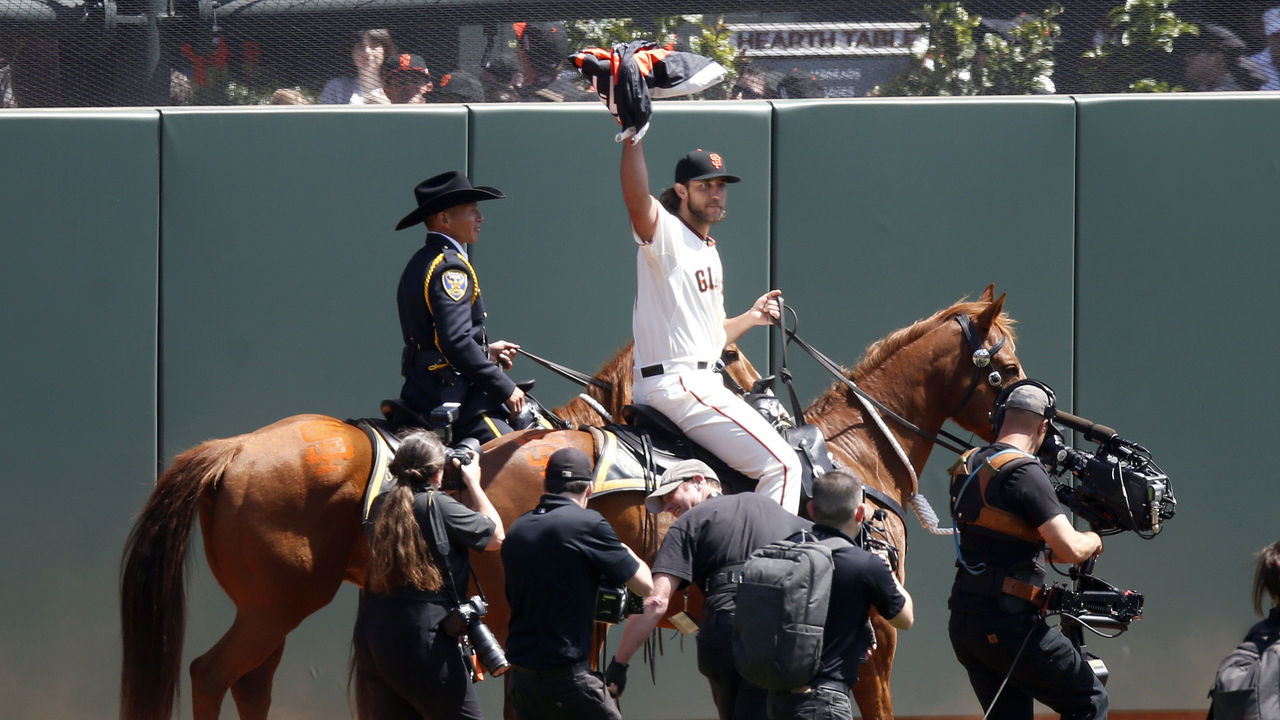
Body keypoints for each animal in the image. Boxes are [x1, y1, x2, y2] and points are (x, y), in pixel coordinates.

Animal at [120, 338, 757, 717]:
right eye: (729, 354)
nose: (760, 391)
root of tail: (233, 448)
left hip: (269, 609)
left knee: (251, 681)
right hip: (274, 607)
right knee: (210, 673)